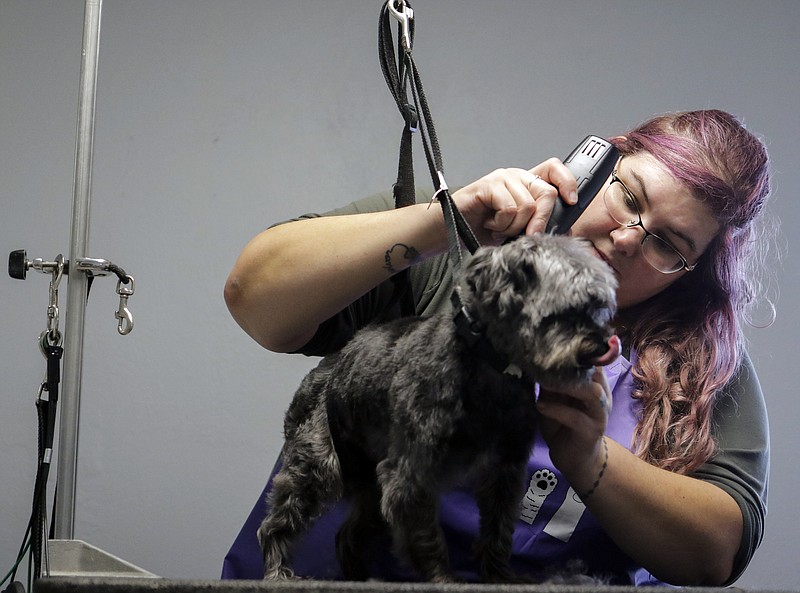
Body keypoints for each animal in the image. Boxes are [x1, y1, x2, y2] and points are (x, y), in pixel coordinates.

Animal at [260, 232, 620, 584]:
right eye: (568, 308)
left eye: (599, 307)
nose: (603, 344)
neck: (491, 367)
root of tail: (322, 372)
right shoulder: (411, 475)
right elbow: (425, 539)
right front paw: (444, 578)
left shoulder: (505, 470)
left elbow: (498, 530)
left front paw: (501, 575)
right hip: (317, 469)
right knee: (276, 524)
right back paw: (278, 572)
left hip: (369, 487)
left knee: (348, 534)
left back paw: (360, 577)